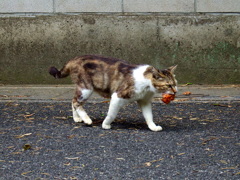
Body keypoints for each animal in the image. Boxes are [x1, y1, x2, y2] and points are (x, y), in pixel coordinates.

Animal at [48, 54, 177, 131]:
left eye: (175, 83)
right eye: (169, 85)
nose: (176, 91)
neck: (148, 87)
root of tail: (74, 58)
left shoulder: (144, 101)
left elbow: (149, 115)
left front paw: (153, 127)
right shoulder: (117, 96)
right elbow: (111, 114)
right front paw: (105, 124)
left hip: (82, 89)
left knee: (73, 100)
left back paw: (77, 118)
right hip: (86, 88)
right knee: (75, 102)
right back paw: (87, 119)